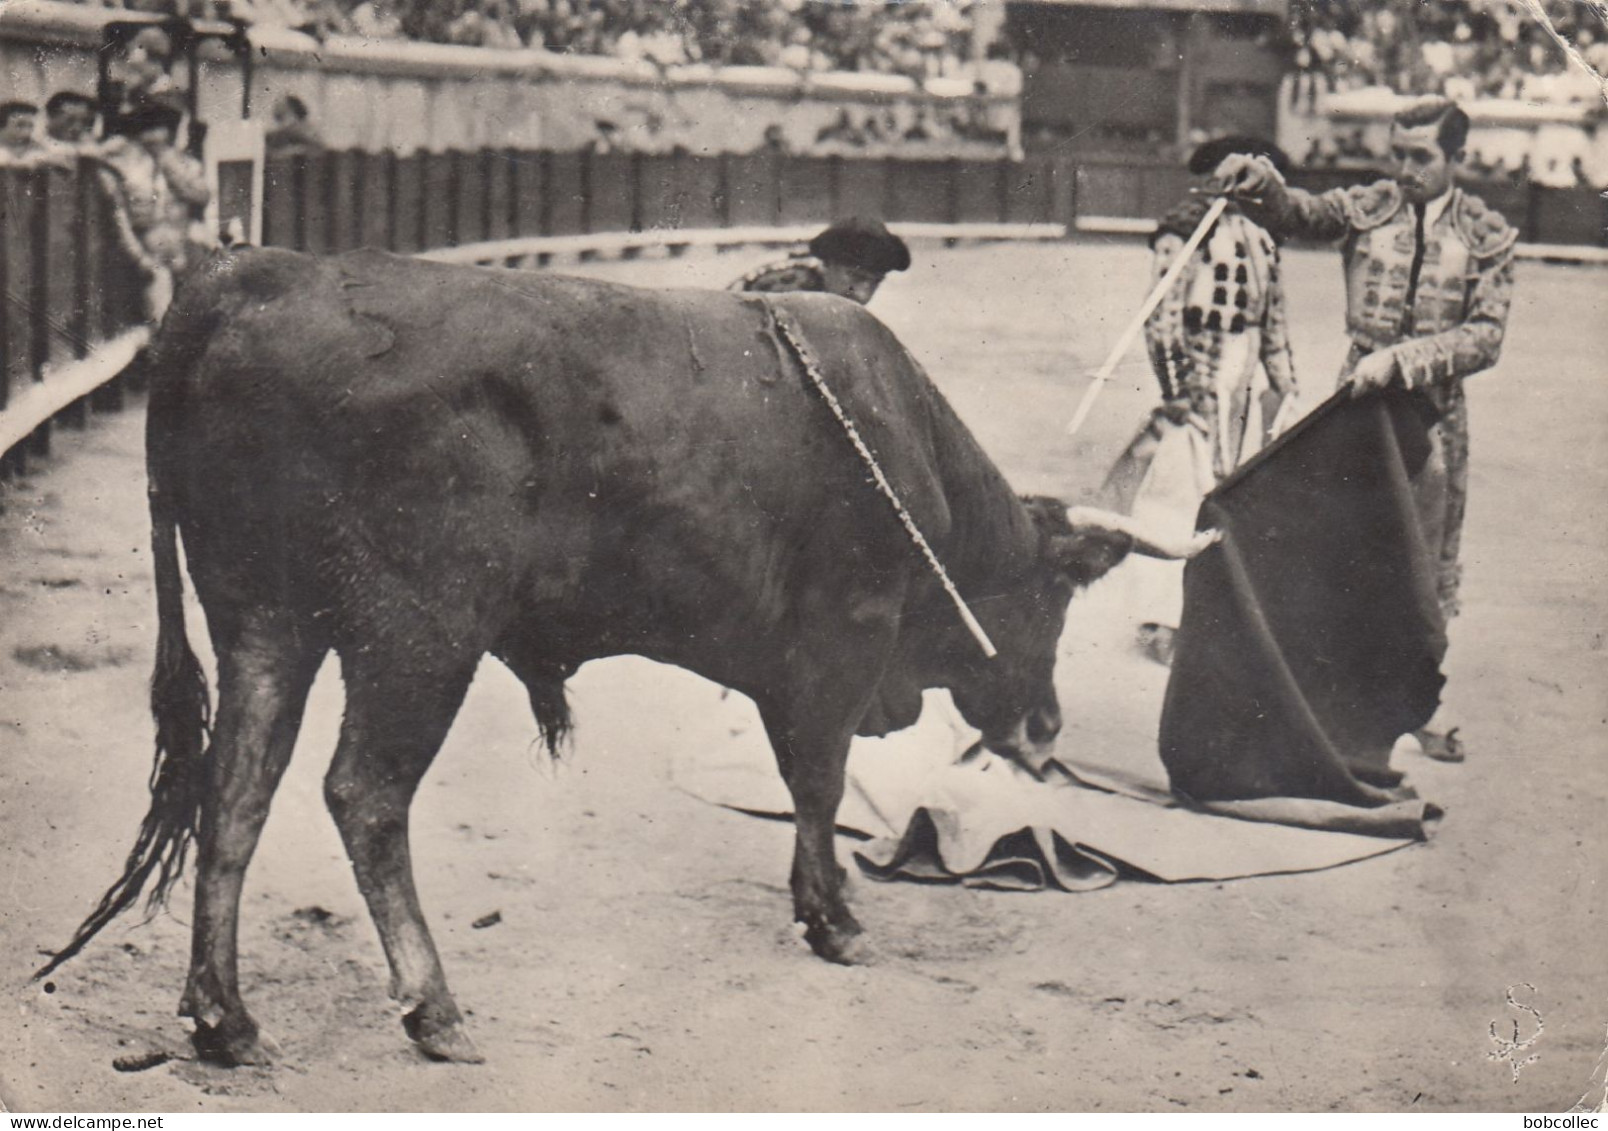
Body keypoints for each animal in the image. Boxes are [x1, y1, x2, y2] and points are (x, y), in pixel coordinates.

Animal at [37, 249, 1209, 1068]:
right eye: (1054, 595)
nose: (1044, 728)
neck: (910, 452)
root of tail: (250, 278)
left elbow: (806, 781)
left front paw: (819, 906)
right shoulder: (838, 644)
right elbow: (819, 782)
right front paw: (836, 919)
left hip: (265, 617)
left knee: (236, 790)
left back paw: (225, 1018)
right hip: (420, 633)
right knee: (362, 793)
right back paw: (434, 1007)